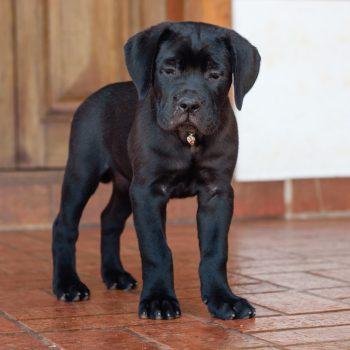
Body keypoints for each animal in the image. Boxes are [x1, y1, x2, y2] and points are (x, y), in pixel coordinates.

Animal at [51, 20, 260, 318]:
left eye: (215, 74)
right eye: (169, 70)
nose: (189, 104)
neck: (188, 140)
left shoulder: (216, 193)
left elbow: (215, 251)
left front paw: (223, 299)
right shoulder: (148, 191)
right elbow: (156, 249)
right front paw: (159, 300)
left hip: (126, 186)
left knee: (109, 219)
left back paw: (114, 274)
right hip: (82, 172)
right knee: (65, 224)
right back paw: (68, 284)